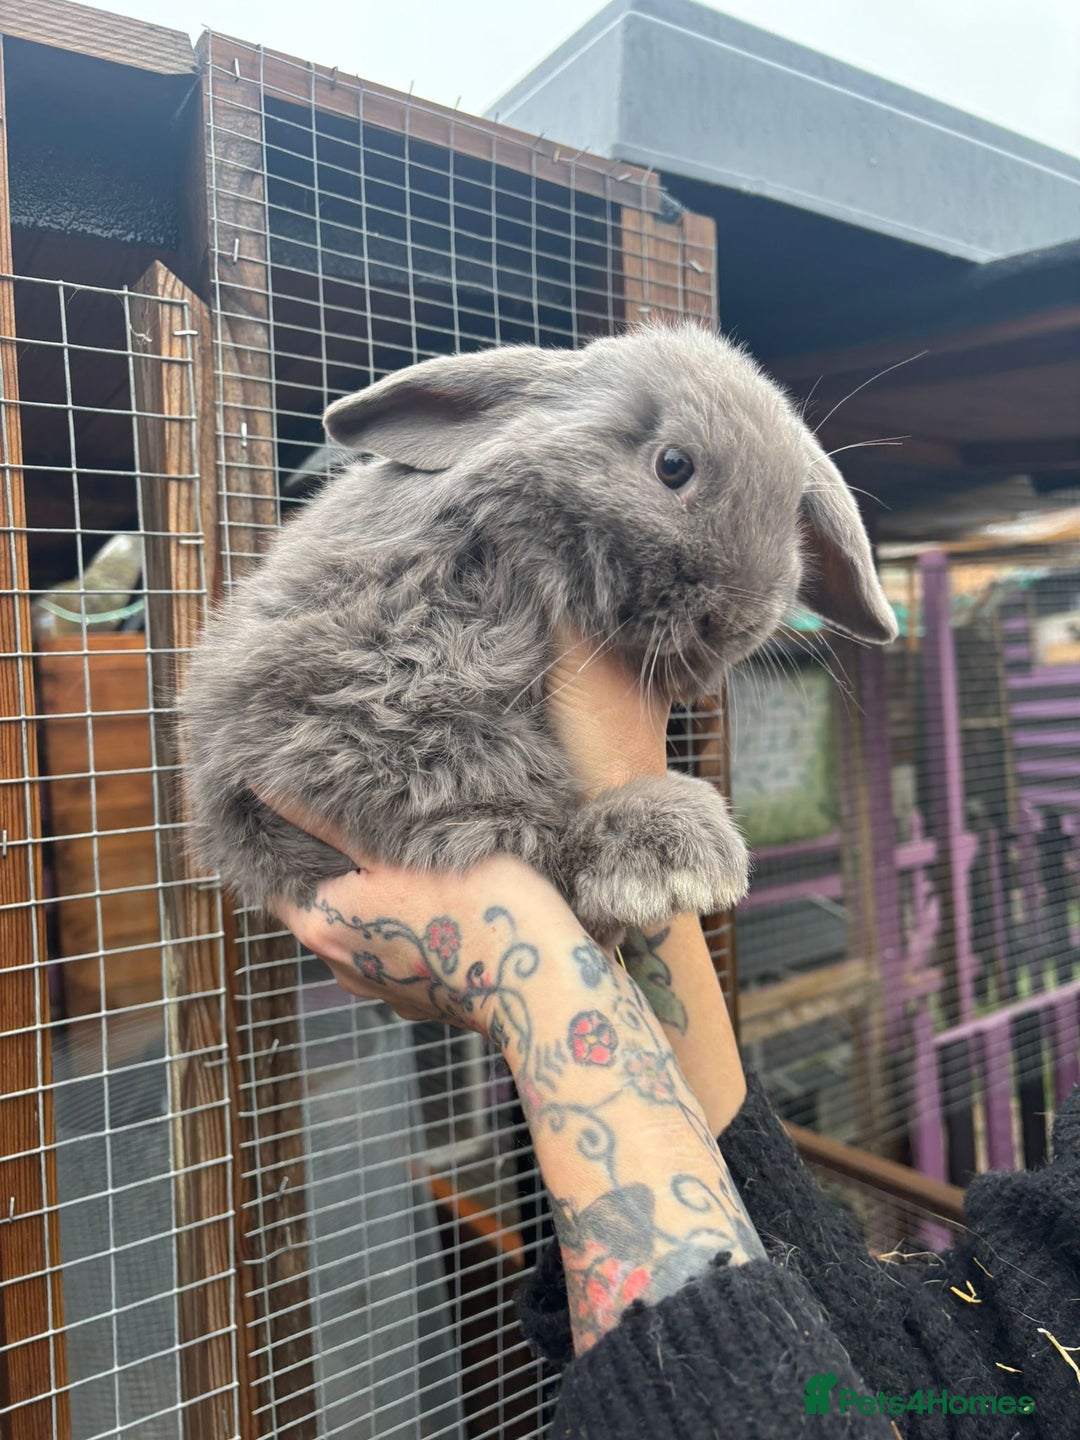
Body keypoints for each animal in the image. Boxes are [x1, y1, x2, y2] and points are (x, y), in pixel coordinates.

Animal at [179, 323, 897, 946]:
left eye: (794, 514)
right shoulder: (370, 696)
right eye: (673, 465)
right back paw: (667, 853)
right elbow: (491, 810)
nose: (734, 621)